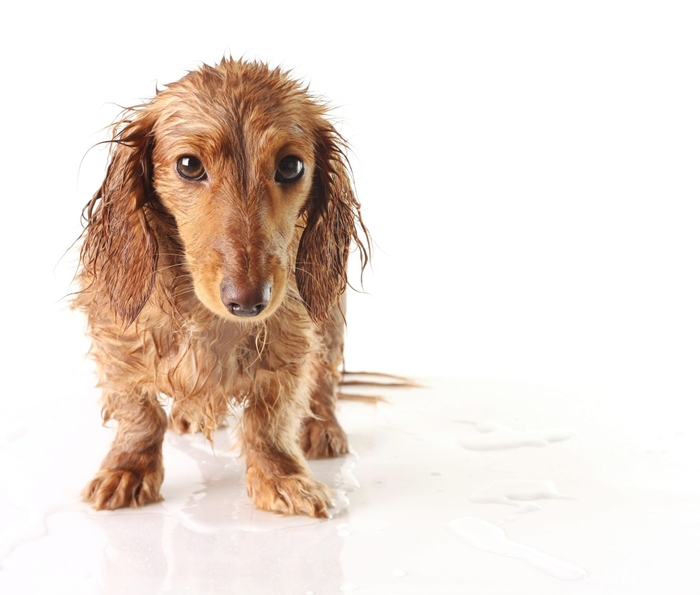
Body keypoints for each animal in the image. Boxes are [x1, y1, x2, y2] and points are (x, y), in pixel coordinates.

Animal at [75, 58, 372, 520]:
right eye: (188, 165)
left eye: (291, 166)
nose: (249, 303)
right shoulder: (117, 338)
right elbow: (139, 413)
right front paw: (127, 469)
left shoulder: (290, 343)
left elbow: (270, 421)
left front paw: (281, 477)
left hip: (329, 317)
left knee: (323, 379)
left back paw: (323, 427)